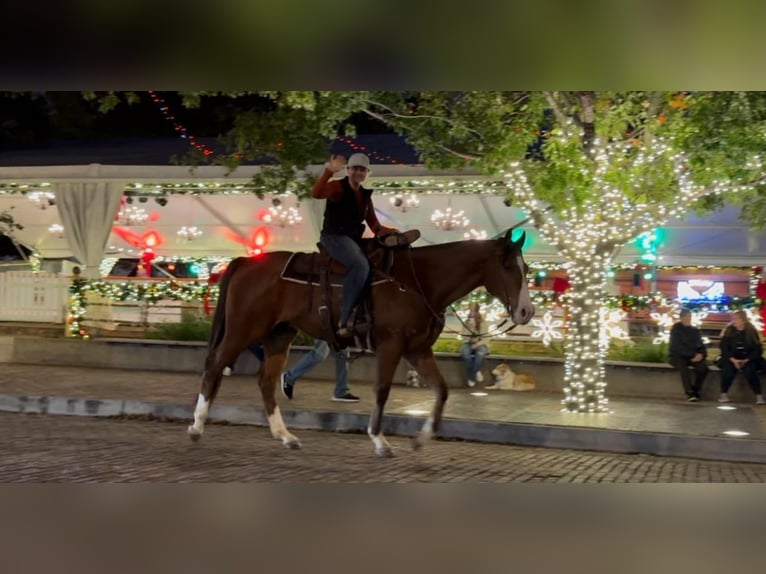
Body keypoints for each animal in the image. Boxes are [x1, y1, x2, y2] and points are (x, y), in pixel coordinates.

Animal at [188, 230, 536, 460]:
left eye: (528, 269)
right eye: (508, 266)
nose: (526, 312)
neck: (420, 280)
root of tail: (246, 262)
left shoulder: (417, 349)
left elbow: (441, 390)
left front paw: (421, 440)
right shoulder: (391, 345)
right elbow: (382, 390)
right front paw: (380, 441)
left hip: (279, 335)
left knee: (266, 380)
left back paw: (285, 436)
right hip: (243, 330)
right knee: (214, 364)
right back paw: (196, 427)